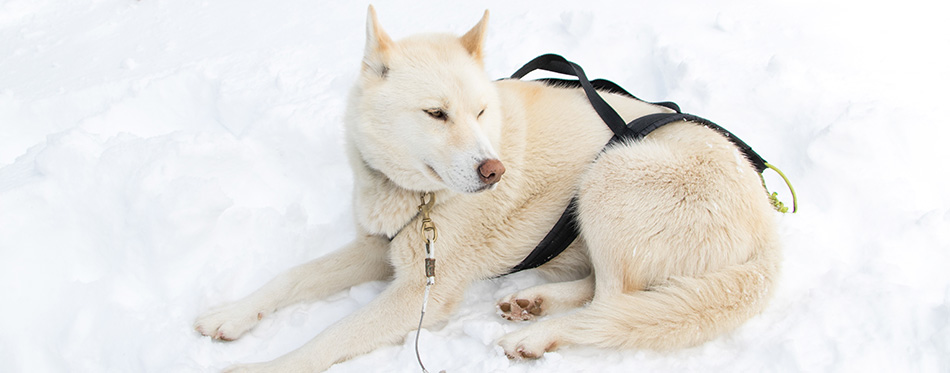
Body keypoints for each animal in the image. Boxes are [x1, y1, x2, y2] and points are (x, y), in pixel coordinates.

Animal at [193, 6, 780, 372]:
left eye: (479, 111)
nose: (494, 170)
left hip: (610, 175)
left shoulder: (421, 291)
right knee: (610, 294)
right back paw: (534, 300)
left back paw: (537, 332)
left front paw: (261, 367)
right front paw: (231, 315)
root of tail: (768, 230)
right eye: (436, 113)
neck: (420, 198)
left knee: (616, 304)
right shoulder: (378, 248)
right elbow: (293, 277)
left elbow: (327, 339)